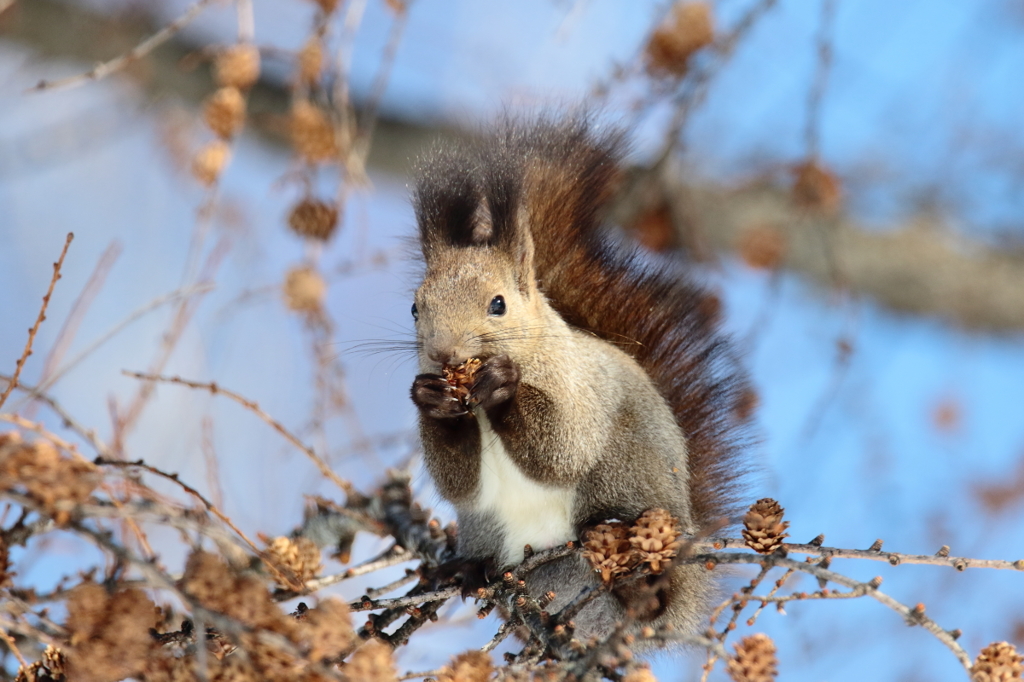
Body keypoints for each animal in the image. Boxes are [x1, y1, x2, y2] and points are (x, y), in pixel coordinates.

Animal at [407, 114, 753, 638]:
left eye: (498, 304)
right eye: (414, 309)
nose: (444, 353)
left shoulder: (578, 386)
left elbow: (564, 449)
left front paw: (502, 384)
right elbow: (459, 485)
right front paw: (431, 400)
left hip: (622, 477)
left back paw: (637, 580)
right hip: (491, 532)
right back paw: (467, 568)